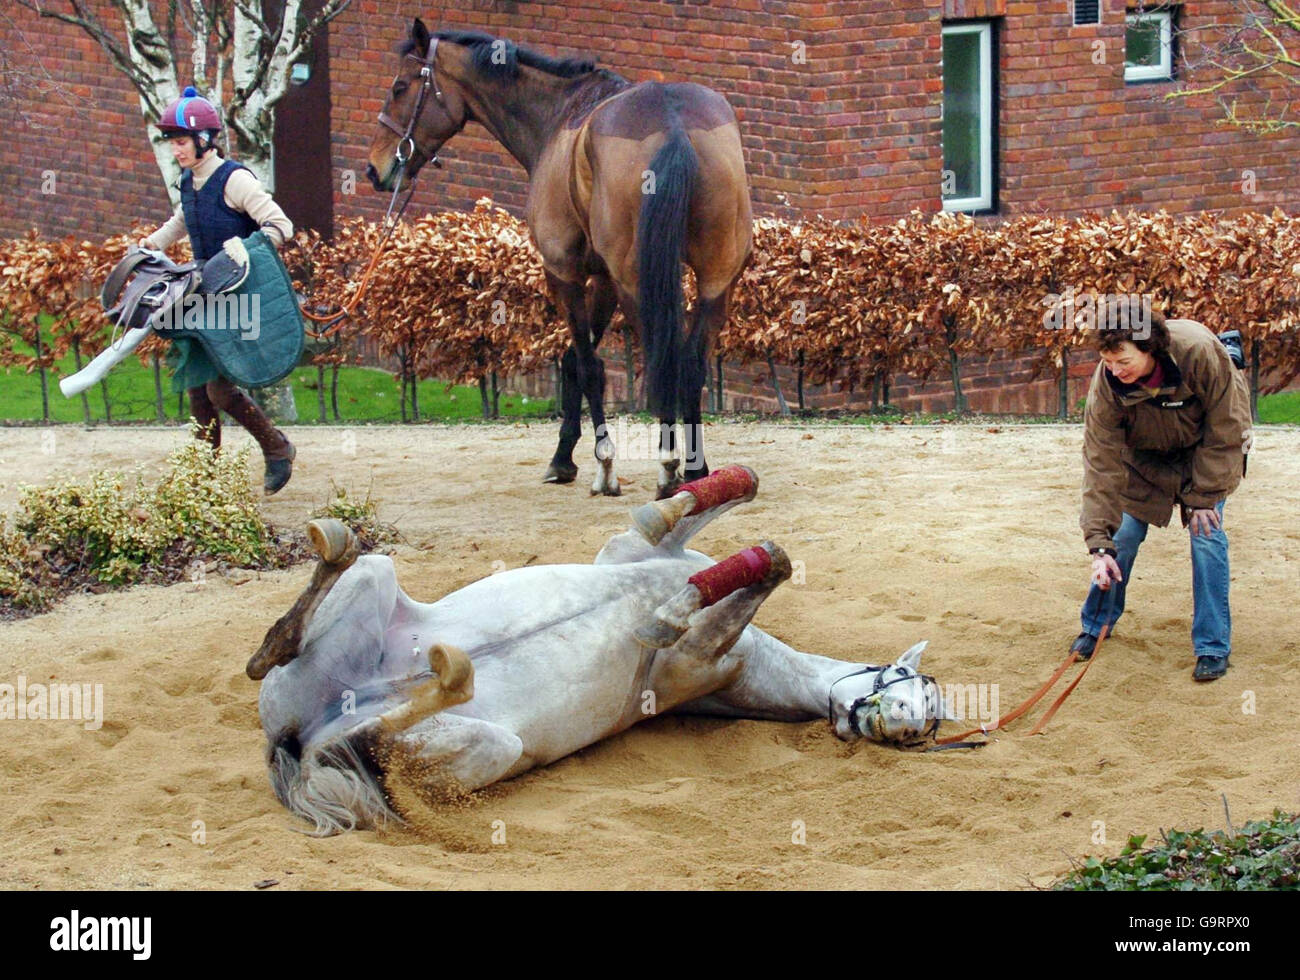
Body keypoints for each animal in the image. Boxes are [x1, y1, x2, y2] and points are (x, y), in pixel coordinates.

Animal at [366, 20, 754, 496]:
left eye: (400, 87)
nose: (376, 168)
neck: (560, 116)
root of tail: (673, 123)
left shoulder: (562, 272)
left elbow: (587, 366)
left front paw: (603, 465)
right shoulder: (602, 279)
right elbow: (574, 360)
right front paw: (563, 457)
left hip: (637, 285)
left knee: (662, 362)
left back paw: (667, 468)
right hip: (717, 280)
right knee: (691, 364)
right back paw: (697, 472)